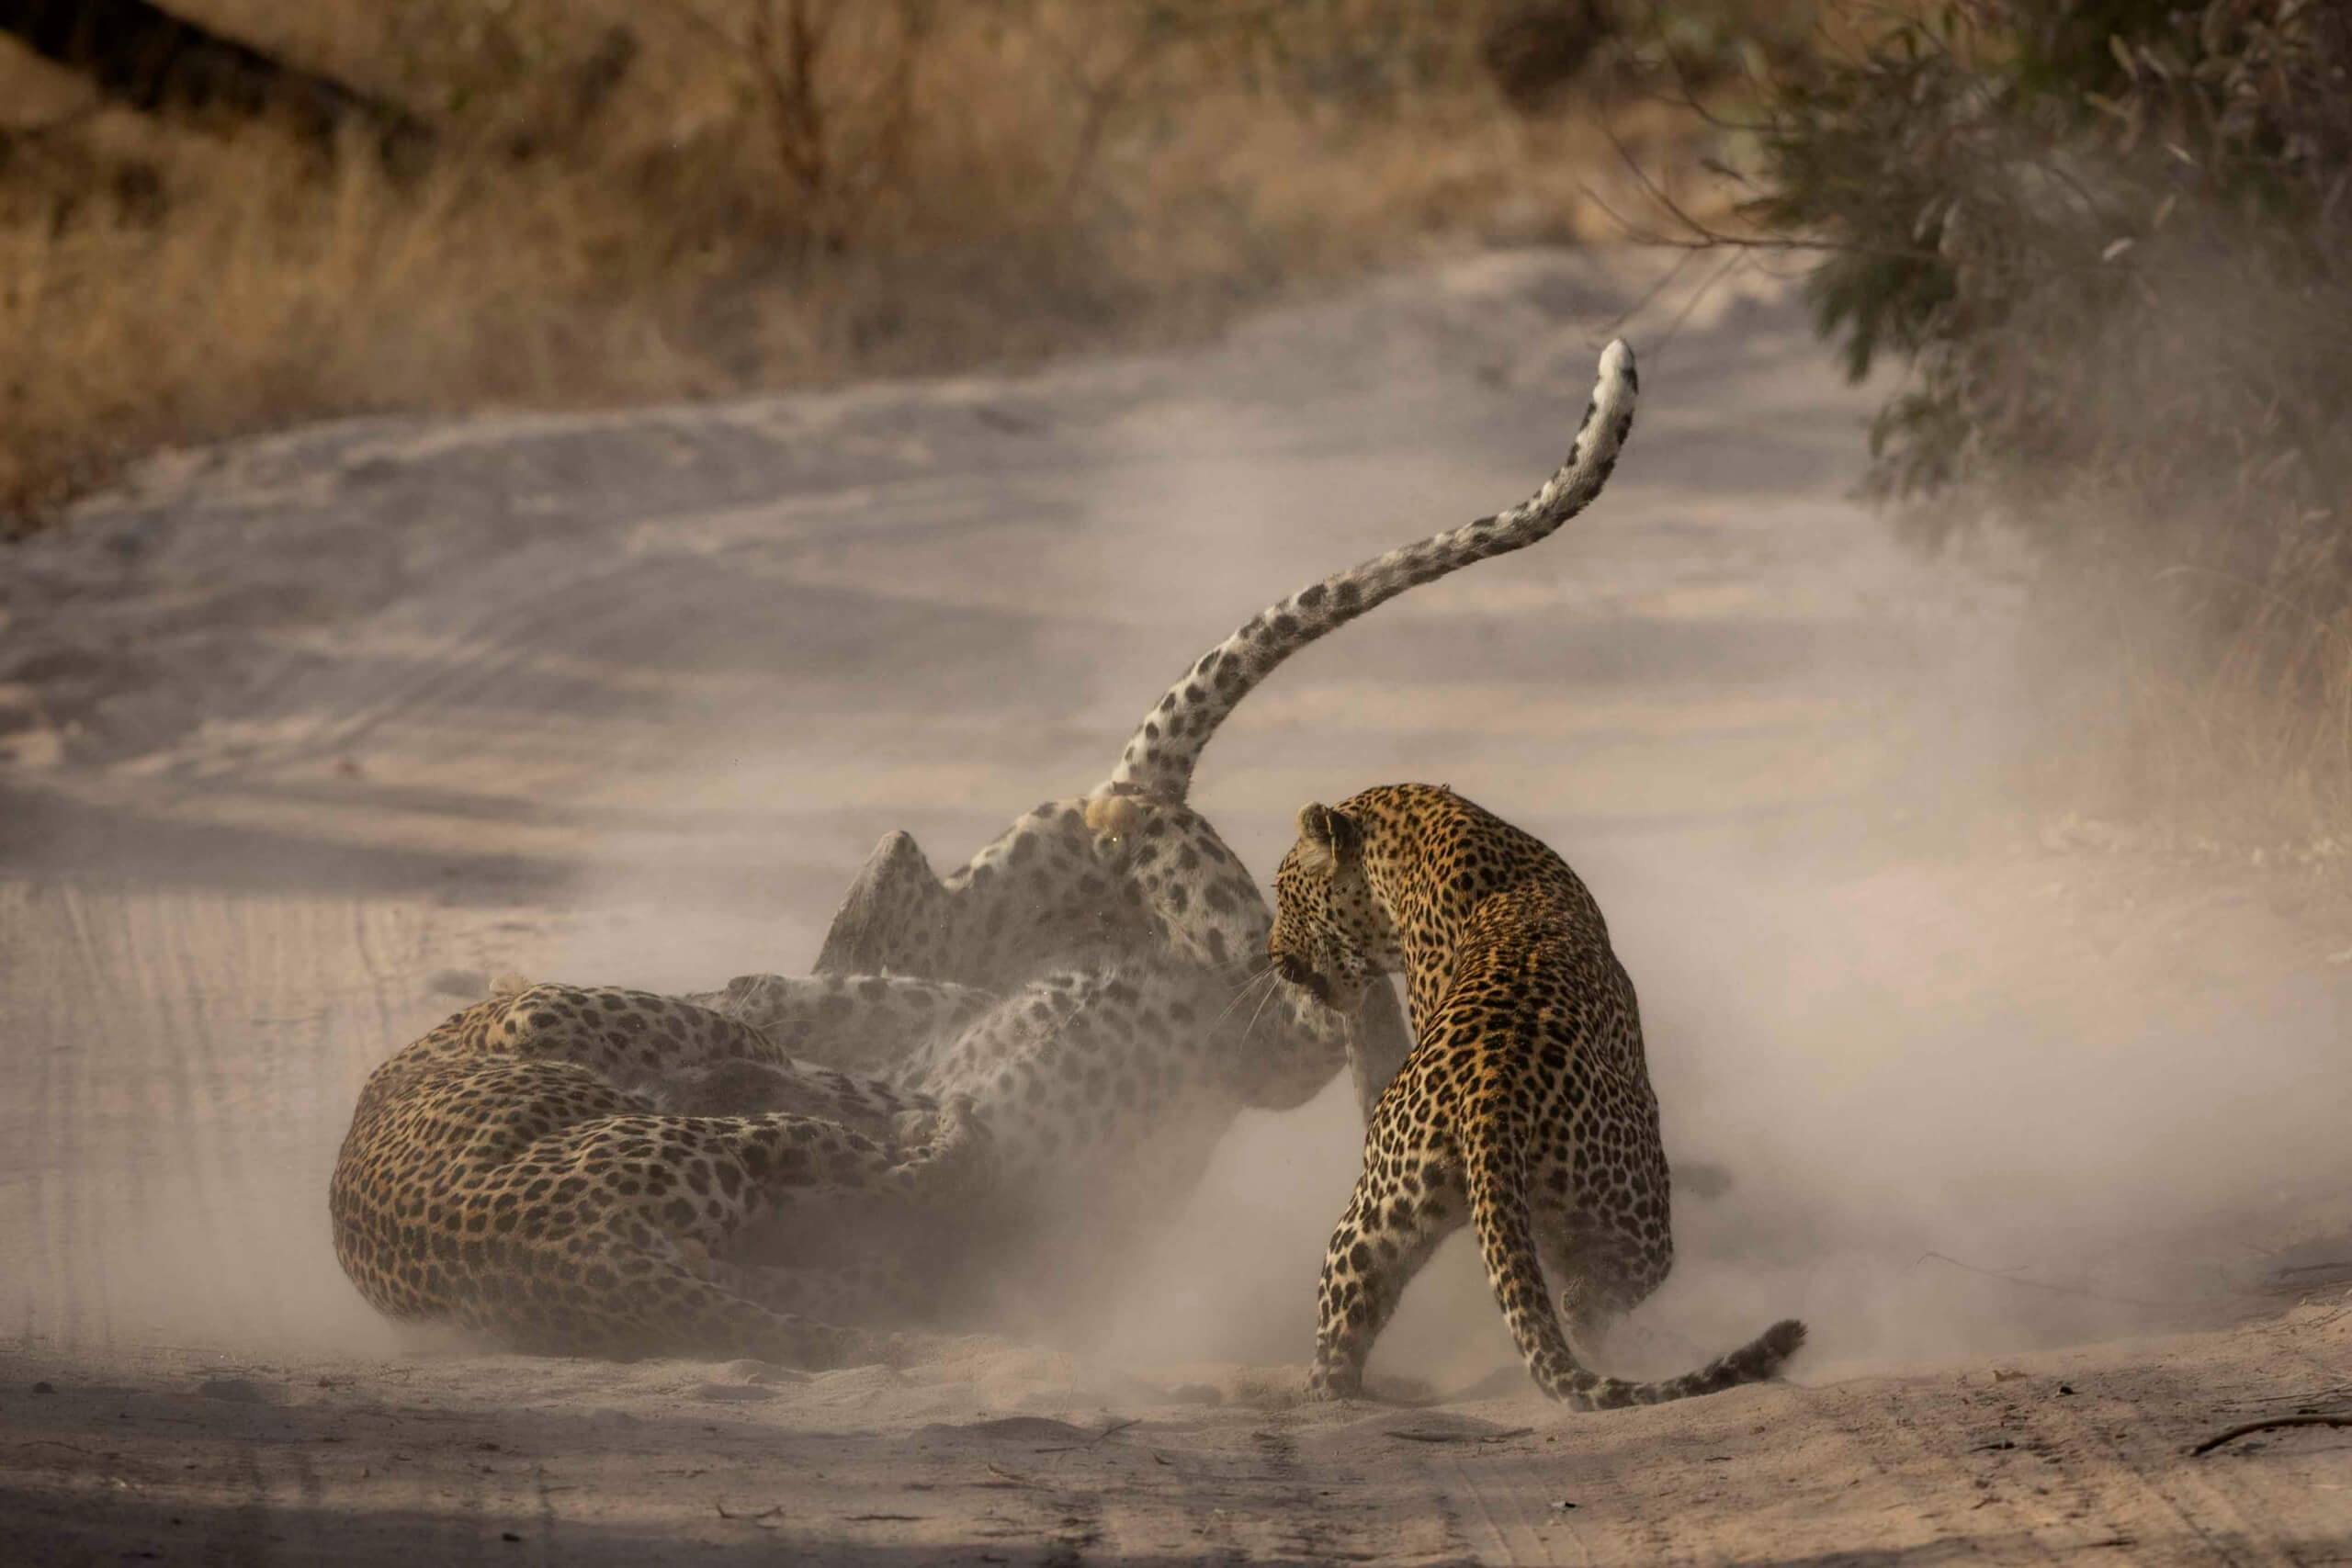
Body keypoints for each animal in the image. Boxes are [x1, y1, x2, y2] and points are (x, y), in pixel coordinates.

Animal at [1267, 782, 1807, 1408]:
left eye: (1282, 891)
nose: (1271, 953)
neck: (1411, 832)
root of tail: (1491, 1093)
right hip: (1638, 1210)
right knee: (1590, 1299)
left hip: (1374, 1221)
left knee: (1340, 1345)